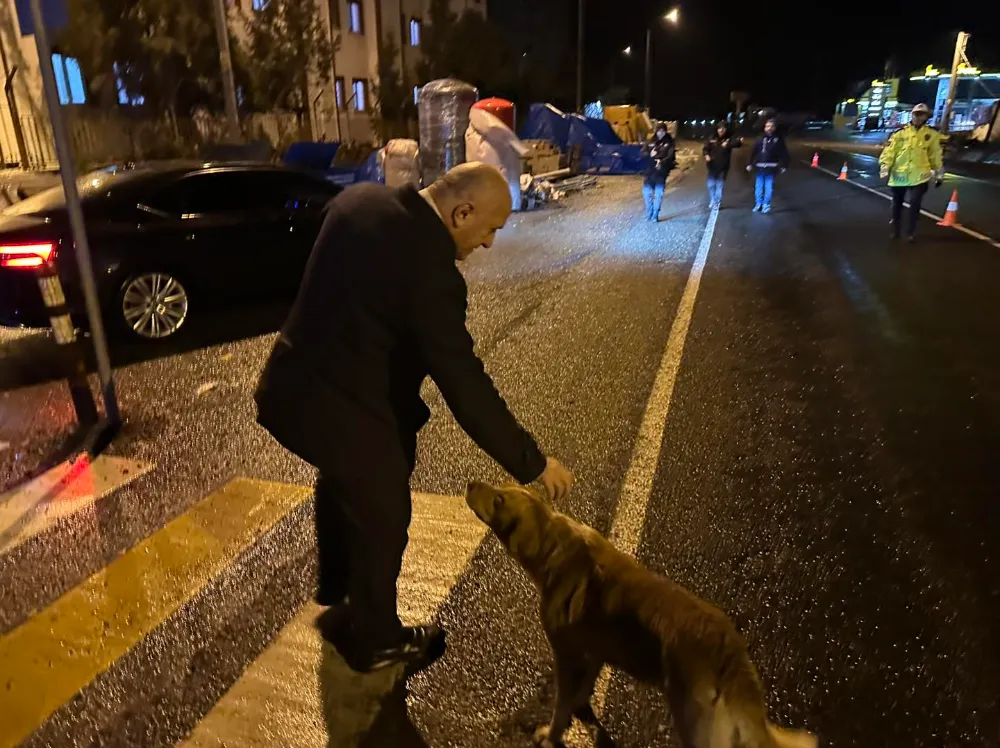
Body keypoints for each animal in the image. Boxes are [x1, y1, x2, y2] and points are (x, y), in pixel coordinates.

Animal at [464, 482, 816, 748]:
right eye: (501, 487)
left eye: (499, 499)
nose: (470, 484)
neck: (553, 544)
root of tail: (728, 647)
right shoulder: (596, 646)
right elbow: (585, 685)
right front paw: (580, 706)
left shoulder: (567, 655)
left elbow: (560, 707)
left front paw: (550, 737)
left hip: (695, 724)